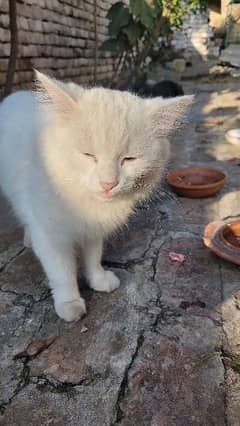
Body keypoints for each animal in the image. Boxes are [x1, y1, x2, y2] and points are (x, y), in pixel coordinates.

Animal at [0, 71, 193, 322]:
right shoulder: (52, 236)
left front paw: (98, 280)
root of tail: (16, 95)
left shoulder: (93, 230)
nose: (108, 183)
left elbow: (93, 257)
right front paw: (70, 303)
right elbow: (62, 273)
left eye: (129, 159)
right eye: (88, 155)